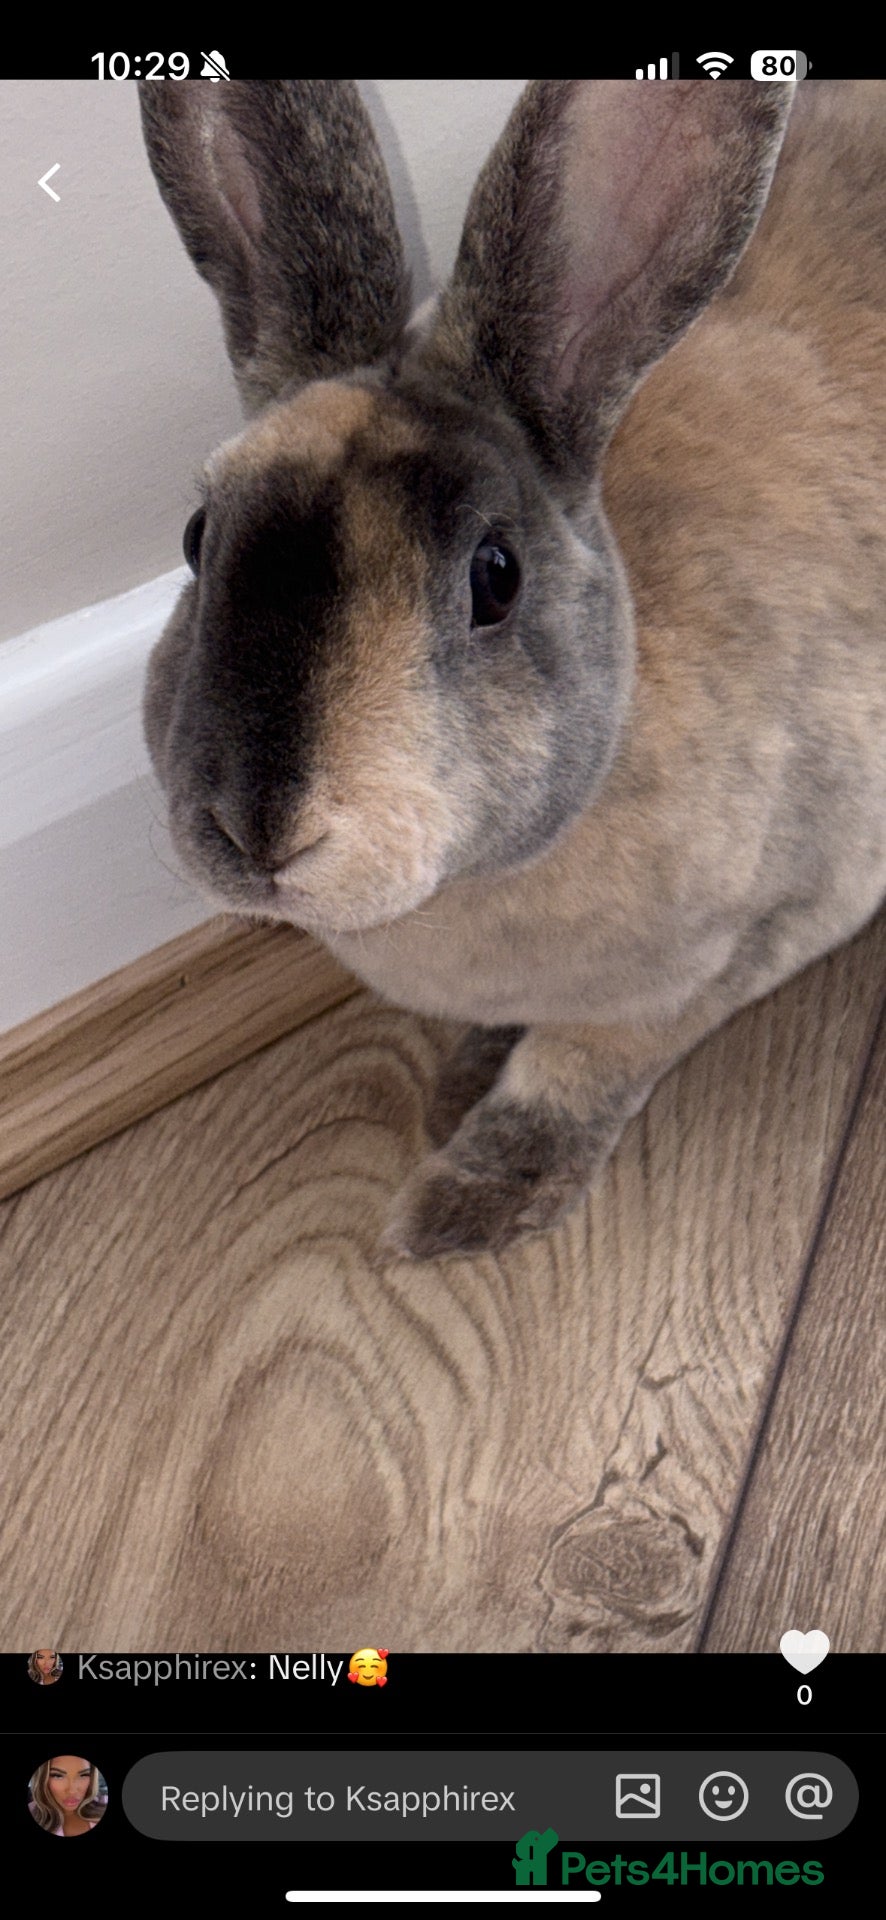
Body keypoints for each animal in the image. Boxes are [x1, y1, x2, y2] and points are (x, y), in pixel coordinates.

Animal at [139, 79, 886, 1261]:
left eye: (495, 577)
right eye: (196, 538)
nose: (252, 831)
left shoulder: (760, 933)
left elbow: (576, 1072)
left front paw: (462, 1203)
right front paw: (461, 1082)